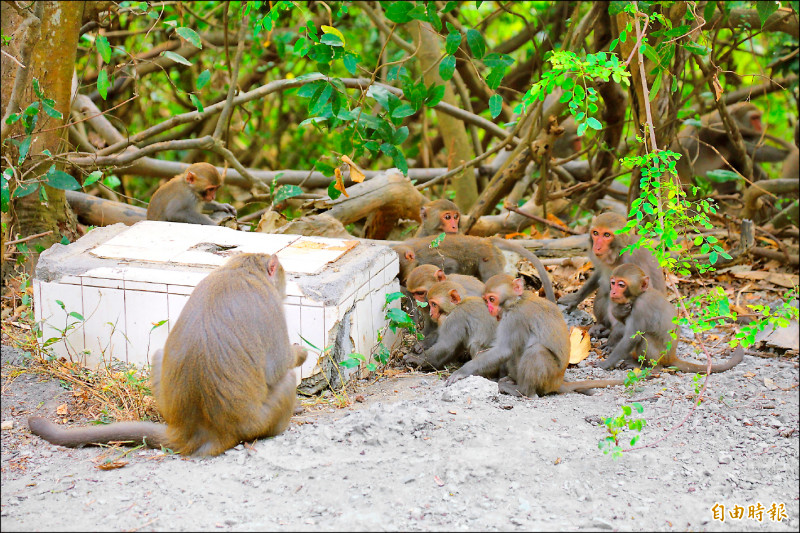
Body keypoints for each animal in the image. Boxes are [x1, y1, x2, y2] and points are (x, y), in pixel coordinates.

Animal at [28, 251, 306, 456]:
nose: (285, 289)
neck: (240, 270)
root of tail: (198, 432)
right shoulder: (270, 306)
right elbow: (277, 365)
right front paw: (300, 352)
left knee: (159, 354)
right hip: (259, 421)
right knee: (287, 380)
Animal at [444, 274, 624, 394]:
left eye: (492, 299)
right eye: (486, 299)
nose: (489, 309)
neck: (516, 302)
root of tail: (557, 382)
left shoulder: (515, 318)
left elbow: (503, 350)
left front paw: (463, 371)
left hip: (548, 378)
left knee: (536, 351)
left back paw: (522, 390)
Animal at [604, 262, 748, 372]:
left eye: (621, 285)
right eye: (613, 282)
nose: (613, 292)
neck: (639, 295)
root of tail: (672, 356)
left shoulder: (641, 307)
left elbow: (632, 337)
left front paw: (604, 364)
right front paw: (619, 311)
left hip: (661, 356)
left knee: (646, 339)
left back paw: (648, 367)